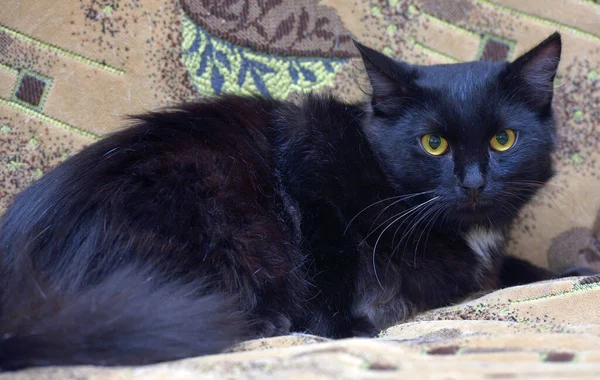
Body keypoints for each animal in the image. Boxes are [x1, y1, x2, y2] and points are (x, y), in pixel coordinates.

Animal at [0, 33, 592, 372]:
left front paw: (572, 268)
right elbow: (330, 260)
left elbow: (509, 269)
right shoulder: (312, 164)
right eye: (433, 144)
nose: (472, 183)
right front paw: (350, 328)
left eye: (503, 140)